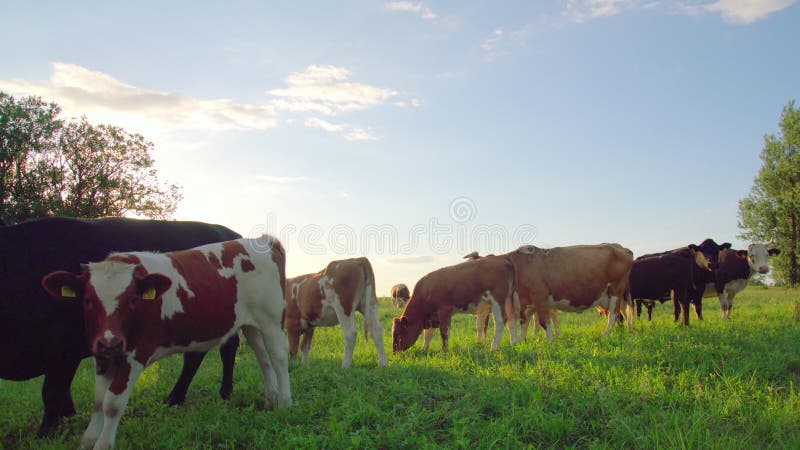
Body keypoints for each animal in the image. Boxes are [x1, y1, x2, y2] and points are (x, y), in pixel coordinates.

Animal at [40, 236, 290, 450]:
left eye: (132, 299)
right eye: (88, 300)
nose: (110, 342)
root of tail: (263, 240)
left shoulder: (135, 354)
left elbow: (112, 403)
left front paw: (102, 444)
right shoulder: (101, 355)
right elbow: (98, 401)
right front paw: (88, 440)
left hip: (272, 320)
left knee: (278, 358)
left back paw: (284, 404)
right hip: (251, 324)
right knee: (264, 358)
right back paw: (270, 399)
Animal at [506, 244, 636, 340]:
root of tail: (621, 247)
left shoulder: (540, 296)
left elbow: (543, 322)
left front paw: (550, 340)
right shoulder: (528, 303)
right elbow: (525, 322)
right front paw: (523, 341)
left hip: (616, 289)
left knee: (614, 314)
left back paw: (604, 335)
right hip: (611, 295)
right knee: (623, 310)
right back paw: (629, 330)